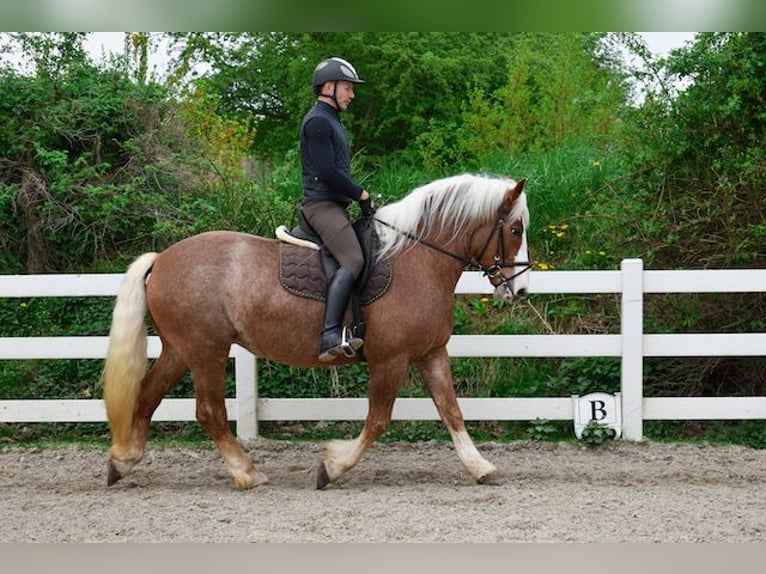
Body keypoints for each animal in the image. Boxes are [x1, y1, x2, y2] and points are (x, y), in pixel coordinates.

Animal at [102, 173, 532, 492]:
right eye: (514, 229)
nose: (522, 290)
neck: (415, 260)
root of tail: (162, 258)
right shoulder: (390, 360)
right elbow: (378, 420)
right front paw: (332, 468)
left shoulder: (430, 354)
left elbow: (452, 412)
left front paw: (482, 468)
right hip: (207, 351)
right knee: (209, 411)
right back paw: (247, 473)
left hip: (180, 349)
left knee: (147, 395)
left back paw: (123, 461)